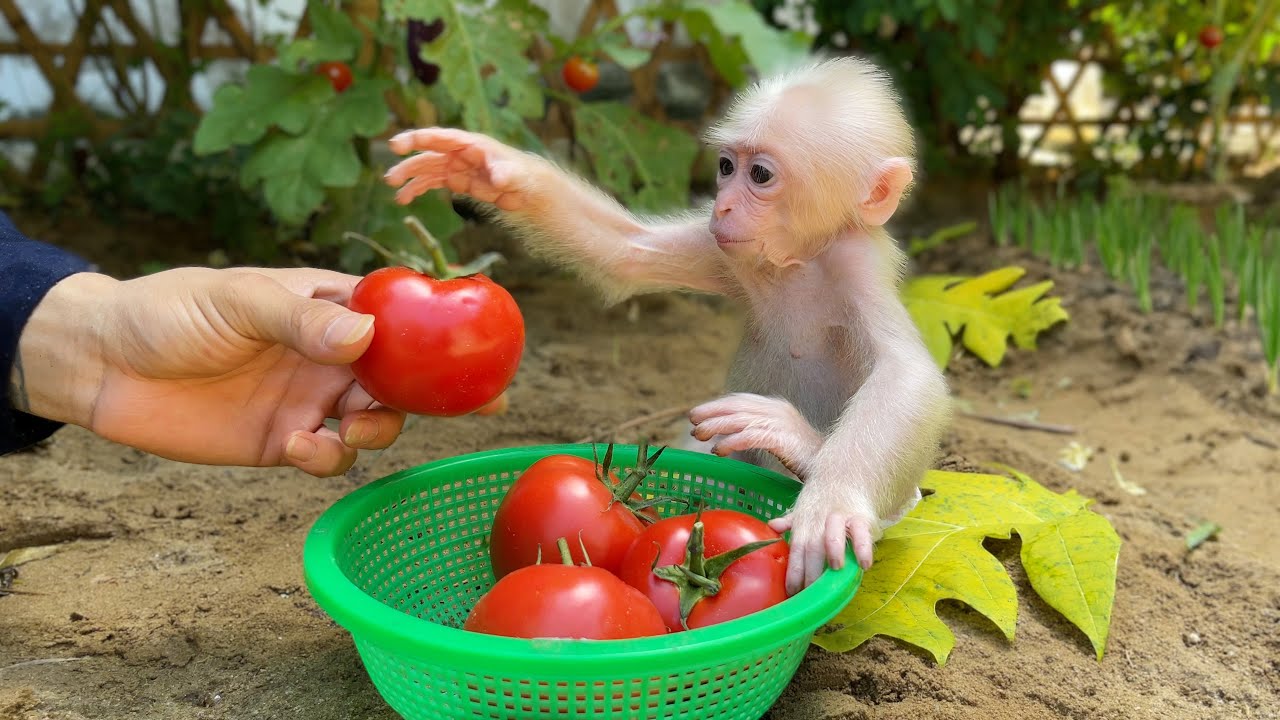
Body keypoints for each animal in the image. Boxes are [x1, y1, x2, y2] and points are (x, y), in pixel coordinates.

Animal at [382, 55, 952, 595]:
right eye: (725, 167)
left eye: (760, 176)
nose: (723, 205)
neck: (797, 263)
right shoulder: (725, 250)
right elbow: (626, 253)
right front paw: (487, 168)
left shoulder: (856, 263)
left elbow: (907, 373)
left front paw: (832, 500)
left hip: (899, 504)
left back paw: (803, 449)